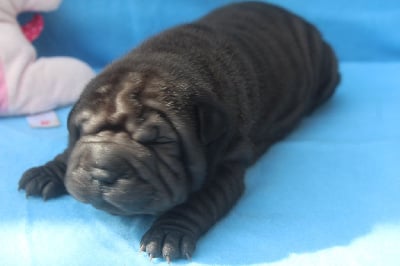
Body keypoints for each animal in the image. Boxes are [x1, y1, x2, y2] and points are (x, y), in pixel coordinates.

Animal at [18, 1, 338, 262]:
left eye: (160, 141)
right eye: (82, 128)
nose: (102, 171)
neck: (171, 57)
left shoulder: (227, 162)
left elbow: (198, 201)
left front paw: (166, 235)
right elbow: (68, 154)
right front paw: (46, 173)